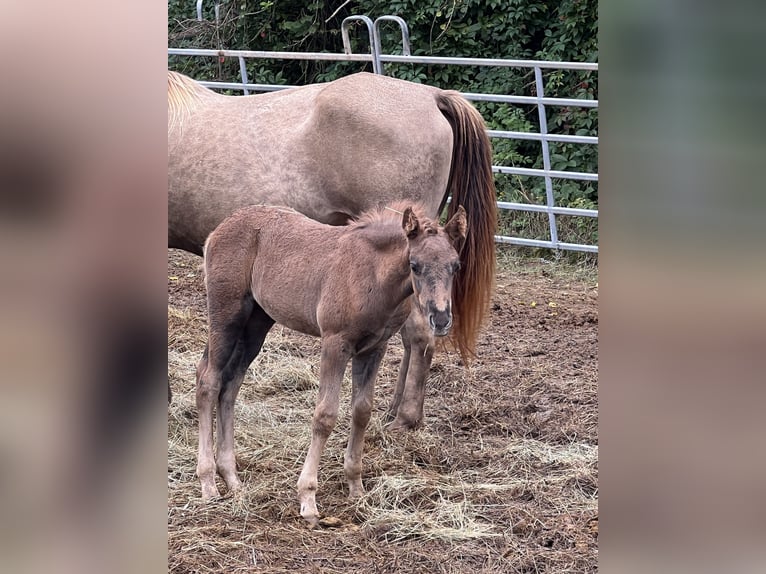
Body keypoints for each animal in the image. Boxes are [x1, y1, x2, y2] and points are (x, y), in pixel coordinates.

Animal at [196, 205, 468, 528]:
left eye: (455, 266)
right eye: (415, 265)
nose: (440, 319)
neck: (372, 274)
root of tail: (218, 229)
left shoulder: (373, 348)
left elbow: (362, 411)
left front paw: (356, 487)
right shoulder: (334, 343)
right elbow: (325, 415)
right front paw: (308, 500)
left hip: (257, 322)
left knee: (230, 385)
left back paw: (232, 478)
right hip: (227, 315)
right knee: (208, 381)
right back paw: (209, 483)